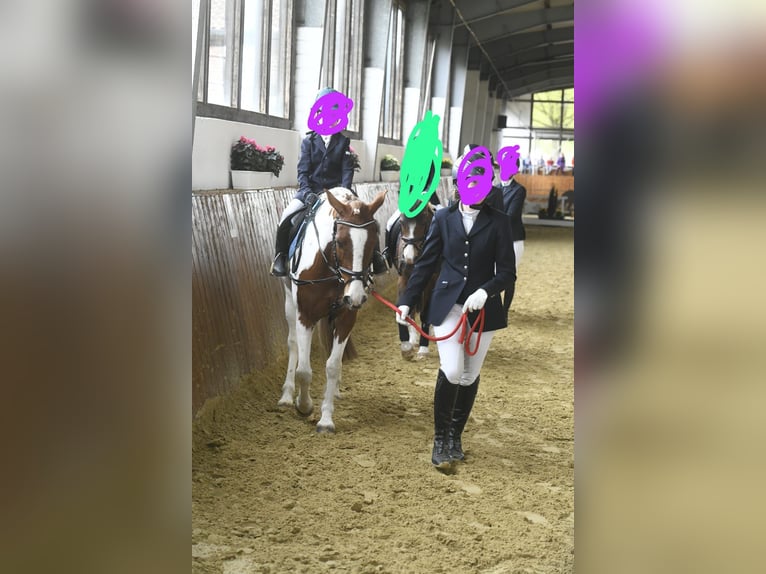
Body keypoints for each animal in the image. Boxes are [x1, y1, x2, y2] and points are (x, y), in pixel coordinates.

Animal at [278, 187, 387, 433]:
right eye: (340, 241)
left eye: (373, 241)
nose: (355, 296)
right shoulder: (305, 315)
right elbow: (304, 370)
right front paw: (304, 405)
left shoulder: (346, 316)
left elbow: (332, 365)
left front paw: (326, 419)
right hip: (289, 302)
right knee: (292, 343)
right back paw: (287, 396)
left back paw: (334, 390)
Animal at [387, 204, 437, 361]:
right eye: (402, 222)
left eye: (423, 221)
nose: (409, 258)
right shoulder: (404, 278)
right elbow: (404, 308)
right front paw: (408, 343)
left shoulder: (432, 280)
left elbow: (426, 313)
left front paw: (423, 348)